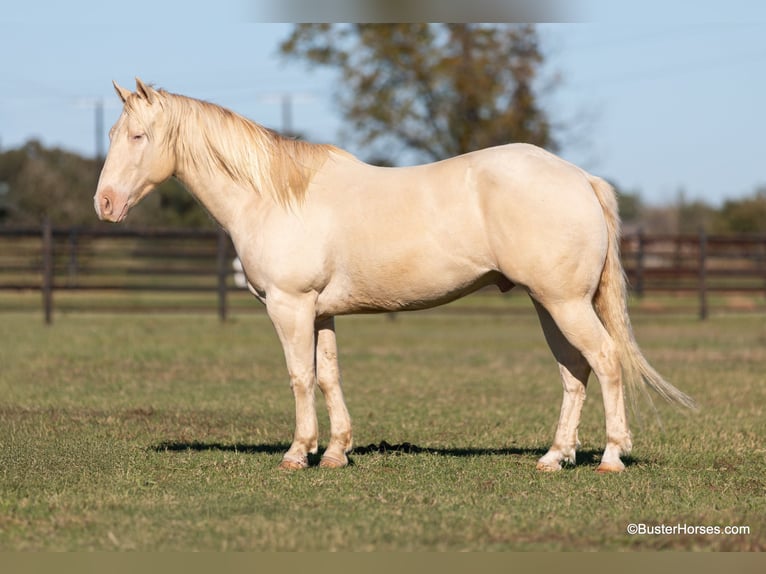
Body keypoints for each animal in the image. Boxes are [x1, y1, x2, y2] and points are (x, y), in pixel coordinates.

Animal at [94, 78, 695, 473]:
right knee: (575, 371)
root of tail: (580, 178)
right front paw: (336, 452)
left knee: (606, 362)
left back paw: (612, 456)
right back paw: (555, 456)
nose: (104, 204)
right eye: (113, 133)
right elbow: (329, 376)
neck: (274, 196)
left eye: (138, 137)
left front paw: (297, 453)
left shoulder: (290, 306)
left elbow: (300, 376)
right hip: (549, 304)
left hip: (565, 302)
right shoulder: (322, 312)